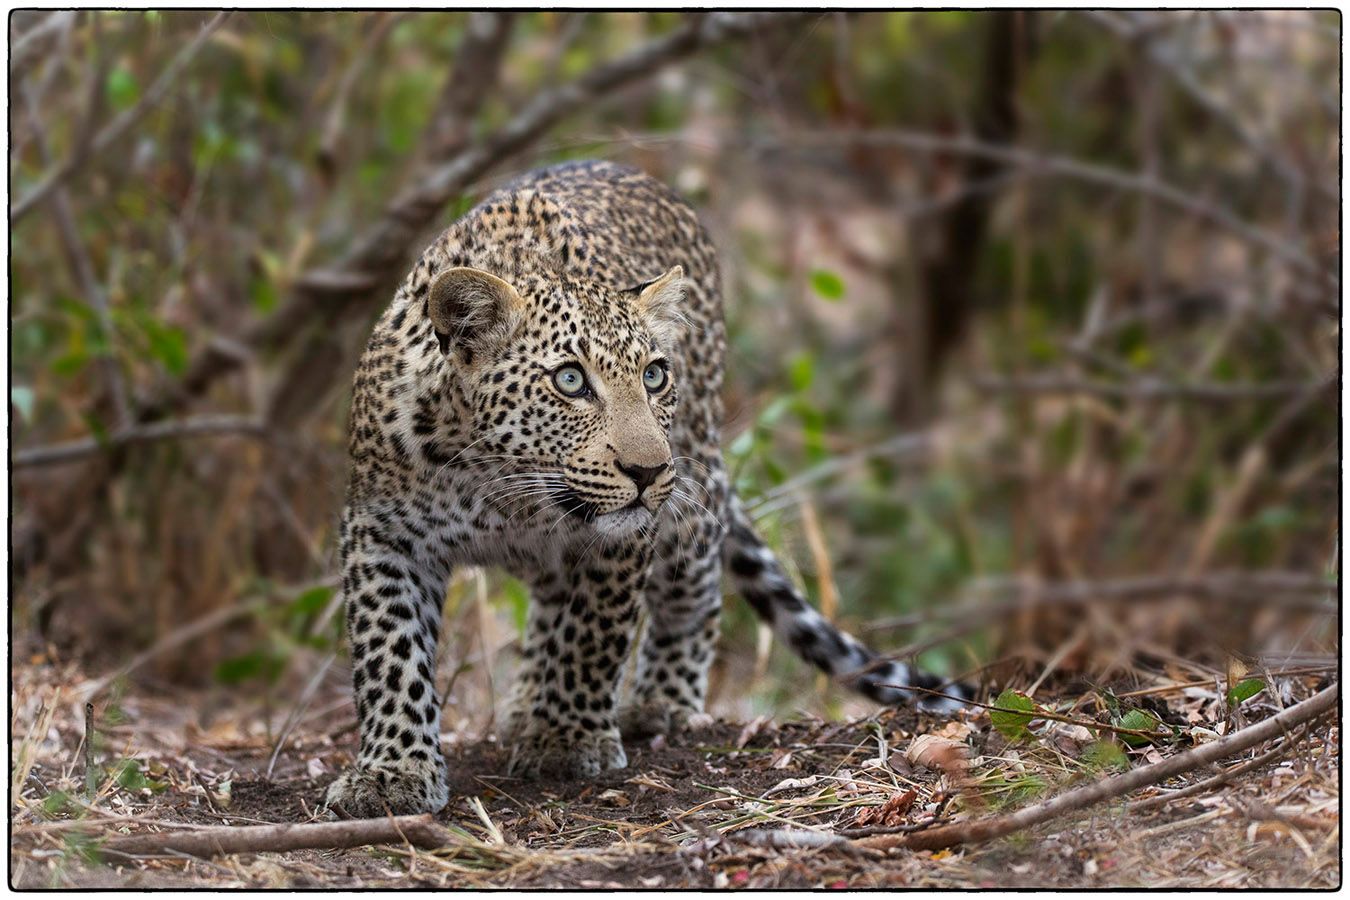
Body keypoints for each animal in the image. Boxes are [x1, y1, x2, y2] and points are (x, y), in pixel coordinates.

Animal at [319, 158, 966, 820]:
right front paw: (393, 771)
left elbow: (593, 635)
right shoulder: (382, 532)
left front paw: (568, 738)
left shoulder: (621, 538)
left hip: (691, 508)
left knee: (693, 594)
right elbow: (390, 652)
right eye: (570, 380)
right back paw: (527, 706)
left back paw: (656, 702)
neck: (500, 479)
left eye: (653, 376)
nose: (650, 471)